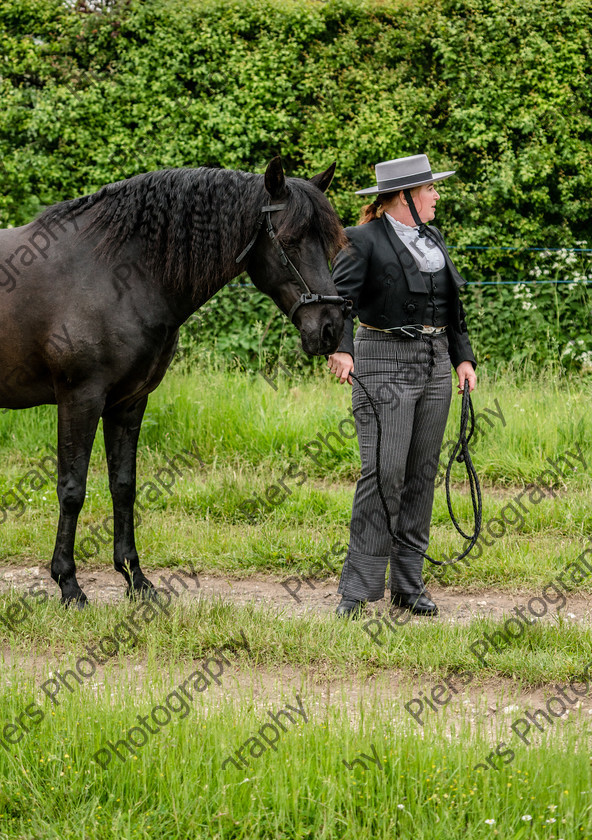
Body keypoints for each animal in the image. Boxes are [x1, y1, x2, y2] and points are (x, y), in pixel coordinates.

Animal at [0, 158, 346, 604]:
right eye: (291, 240)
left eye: (331, 243)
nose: (331, 329)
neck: (111, 274)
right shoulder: (80, 399)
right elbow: (72, 489)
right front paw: (69, 584)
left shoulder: (128, 403)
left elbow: (124, 485)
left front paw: (135, 577)